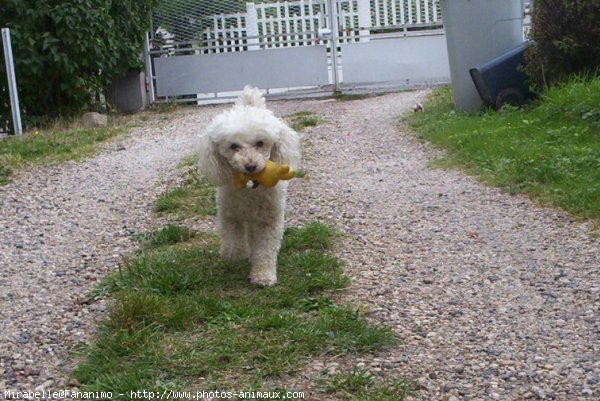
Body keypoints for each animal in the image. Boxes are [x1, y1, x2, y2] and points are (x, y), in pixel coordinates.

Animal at [197, 86, 300, 286]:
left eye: (260, 143)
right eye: (233, 146)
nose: (250, 166)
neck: (250, 189)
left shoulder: (269, 221)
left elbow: (265, 250)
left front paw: (263, 275)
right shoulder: (230, 216)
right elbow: (233, 244)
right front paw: (234, 256)